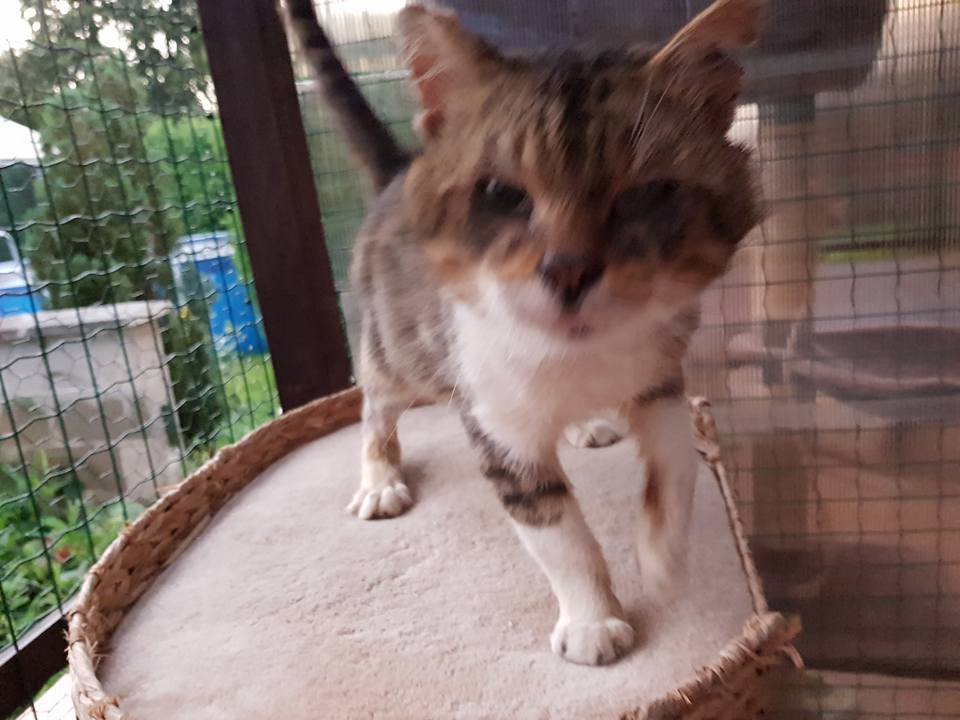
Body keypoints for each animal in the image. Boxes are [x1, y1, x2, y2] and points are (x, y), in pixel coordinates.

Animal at [284, 0, 762, 666]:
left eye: (644, 196)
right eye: (500, 194)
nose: (568, 270)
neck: (576, 359)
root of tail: (401, 167)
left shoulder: (662, 375)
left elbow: (677, 464)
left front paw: (663, 560)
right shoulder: (495, 416)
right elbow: (556, 530)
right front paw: (593, 620)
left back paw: (589, 423)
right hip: (398, 352)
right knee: (376, 409)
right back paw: (380, 479)